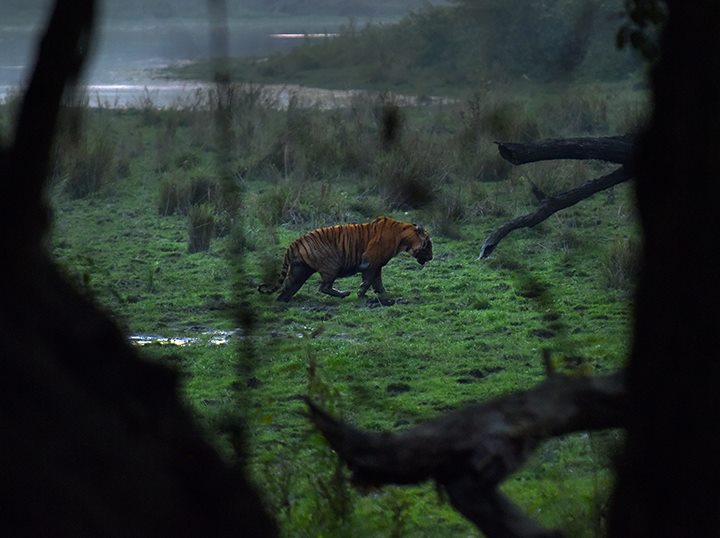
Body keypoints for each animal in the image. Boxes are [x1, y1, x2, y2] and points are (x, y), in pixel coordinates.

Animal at [258, 217, 434, 302]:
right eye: (429, 244)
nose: (432, 257)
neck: (404, 237)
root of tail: (294, 243)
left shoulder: (377, 264)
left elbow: (377, 281)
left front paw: (383, 294)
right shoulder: (371, 261)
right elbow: (369, 280)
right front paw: (361, 293)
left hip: (299, 270)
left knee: (288, 286)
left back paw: (282, 301)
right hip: (331, 264)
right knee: (323, 287)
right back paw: (344, 293)